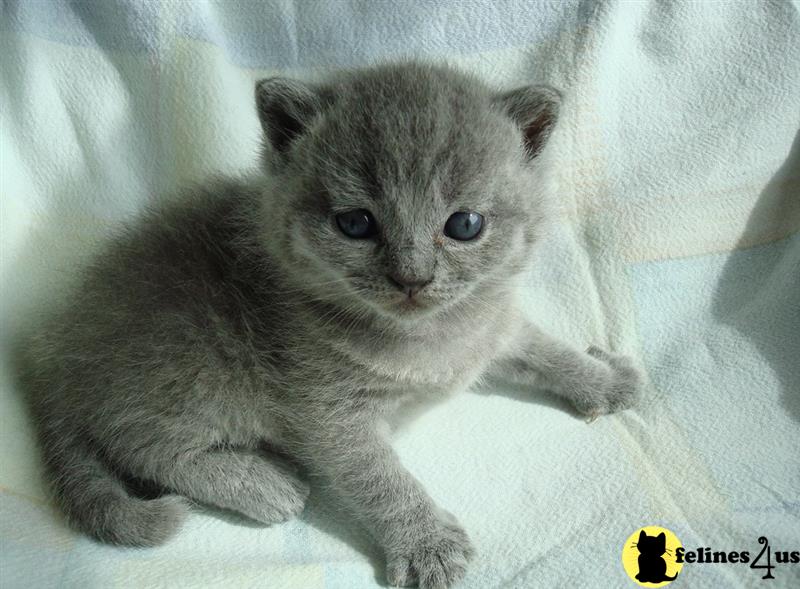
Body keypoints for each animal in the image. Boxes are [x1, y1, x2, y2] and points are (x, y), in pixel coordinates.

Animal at [21, 62, 640, 584]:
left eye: (464, 224)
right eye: (355, 223)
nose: (412, 278)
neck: (430, 338)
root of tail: (56, 354)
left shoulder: (490, 327)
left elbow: (541, 346)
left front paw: (602, 379)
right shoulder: (325, 412)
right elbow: (377, 477)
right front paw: (426, 543)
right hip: (191, 370)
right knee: (142, 447)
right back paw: (260, 485)